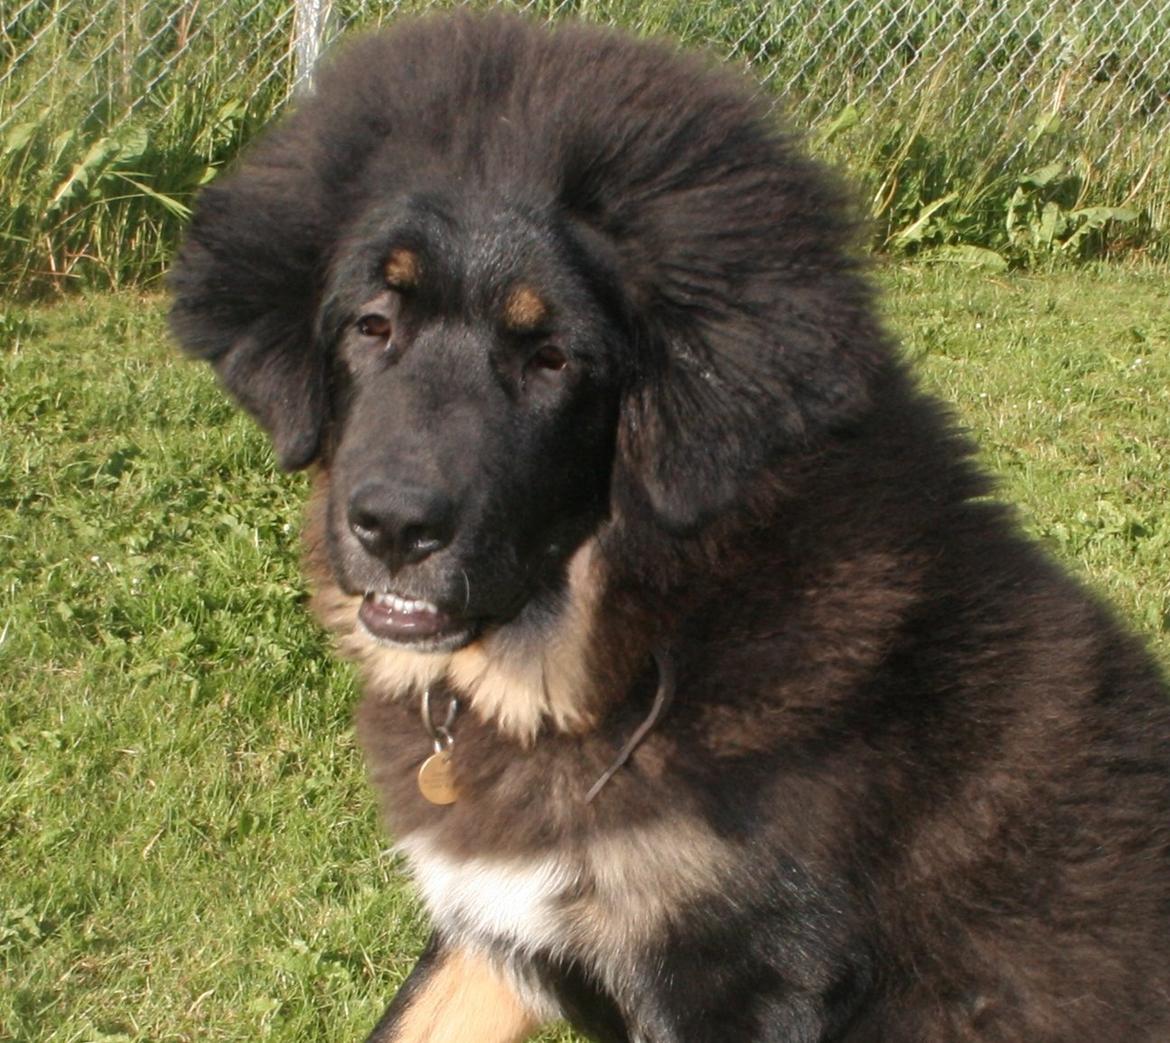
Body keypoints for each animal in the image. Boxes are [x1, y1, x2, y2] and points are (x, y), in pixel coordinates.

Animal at [169, 10, 1170, 1043]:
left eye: (554, 358)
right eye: (371, 324)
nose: (395, 526)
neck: (631, 639)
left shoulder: (746, 973)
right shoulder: (494, 924)